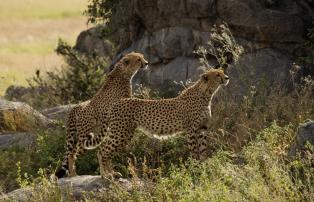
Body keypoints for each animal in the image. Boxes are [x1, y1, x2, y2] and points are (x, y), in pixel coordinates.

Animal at [83, 68, 229, 178]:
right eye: (217, 74)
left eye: (222, 72)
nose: (227, 77)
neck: (207, 93)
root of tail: (116, 103)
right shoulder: (192, 130)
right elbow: (195, 151)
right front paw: (196, 168)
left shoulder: (202, 128)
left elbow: (204, 151)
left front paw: (204, 167)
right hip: (120, 132)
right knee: (102, 150)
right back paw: (106, 175)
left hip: (125, 134)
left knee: (107, 152)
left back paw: (112, 173)